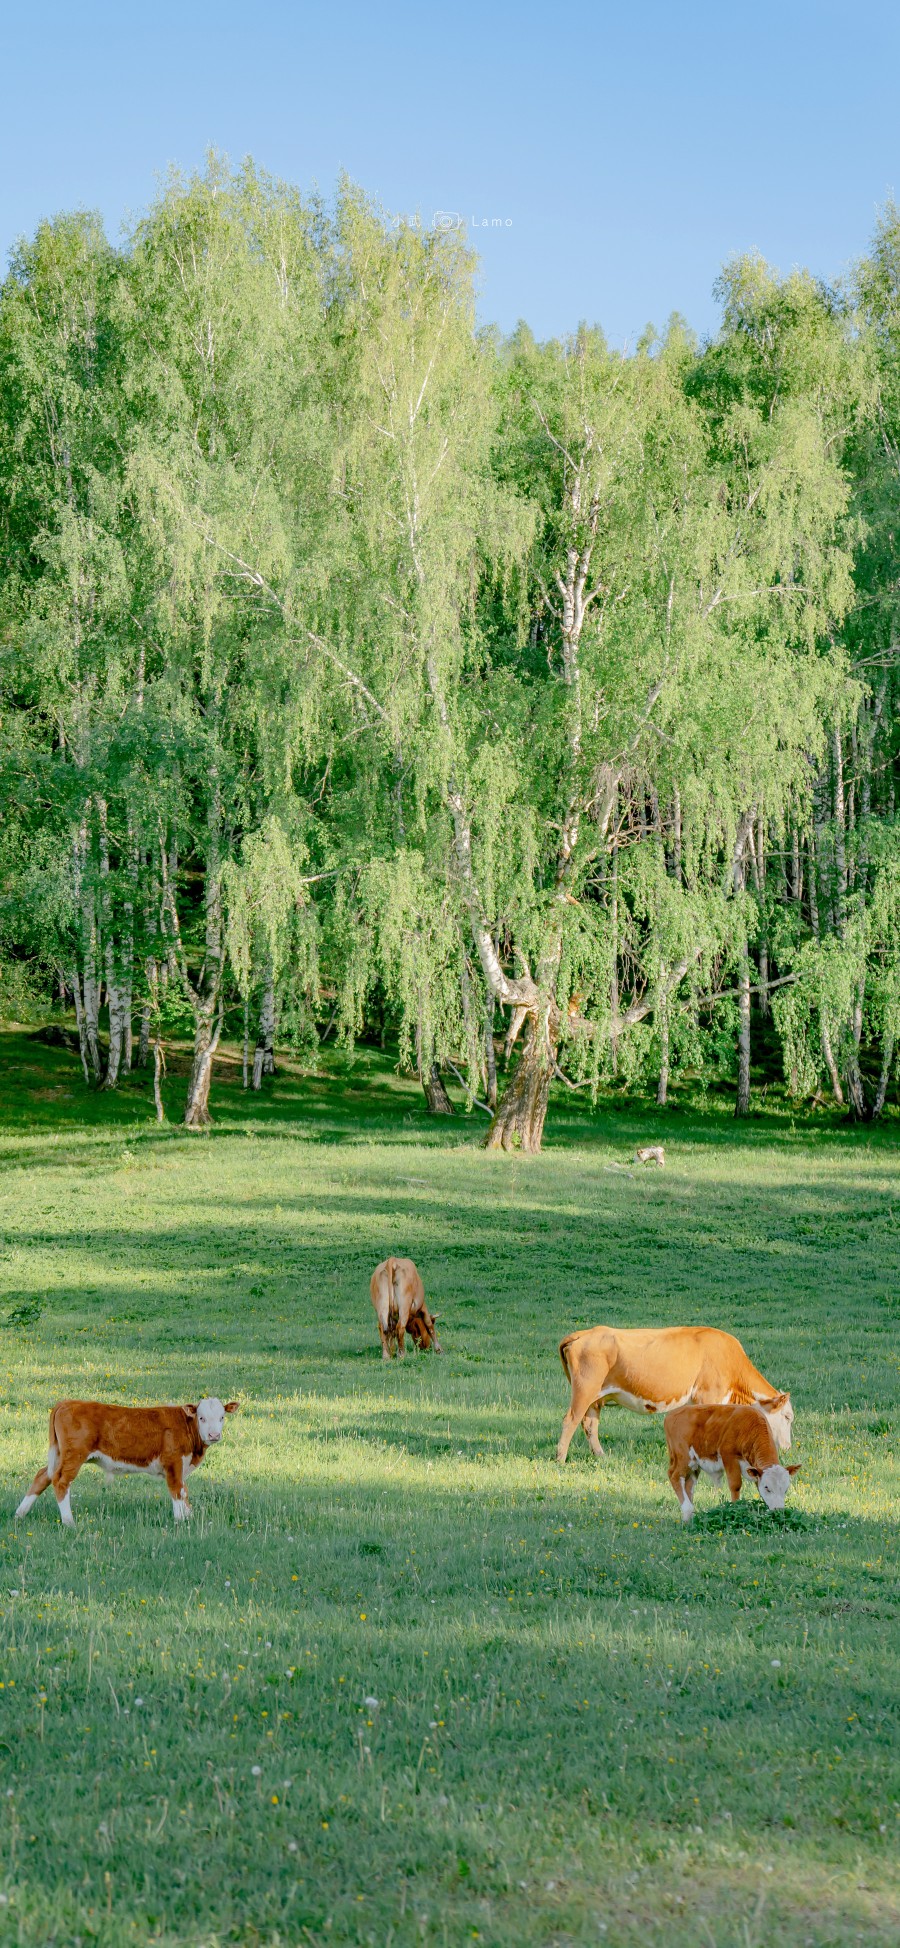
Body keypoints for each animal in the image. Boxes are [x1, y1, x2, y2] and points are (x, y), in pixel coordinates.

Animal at [15, 1394, 238, 1527]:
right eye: (201, 1417)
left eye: (222, 1417)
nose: (214, 1435)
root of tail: (68, 1402)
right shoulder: (173, 1463)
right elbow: (177, 1491)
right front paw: (180, 1520)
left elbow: (184, 1491)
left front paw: (189, 1517)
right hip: (74, 1455)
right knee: (61, 1481)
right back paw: (69, 1522)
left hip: (60, 1454)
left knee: (43, 1476)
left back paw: (20, 1513)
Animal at [557, 1324, 794, 1464]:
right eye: (787, 1417)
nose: (787, 1448)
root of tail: (586, 1333)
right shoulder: (709, 1395)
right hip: (585, 1389)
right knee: (570, 1419)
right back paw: (560, 1458)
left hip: (596, 1397)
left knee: (589, 1424)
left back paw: (601, 1455)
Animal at [662, 1402, 802, 1519]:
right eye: (767, 1487)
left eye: (786, 1488)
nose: (778, 1510)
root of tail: (672, 1414)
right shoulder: (729, 1456)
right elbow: (735, 1485)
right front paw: (736, 1508)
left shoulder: (755, 1470)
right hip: (684, 1458)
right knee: (674, 1476)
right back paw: (687, 1509)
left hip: (695, 1464)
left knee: (688, 1483)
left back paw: (689, 1518)